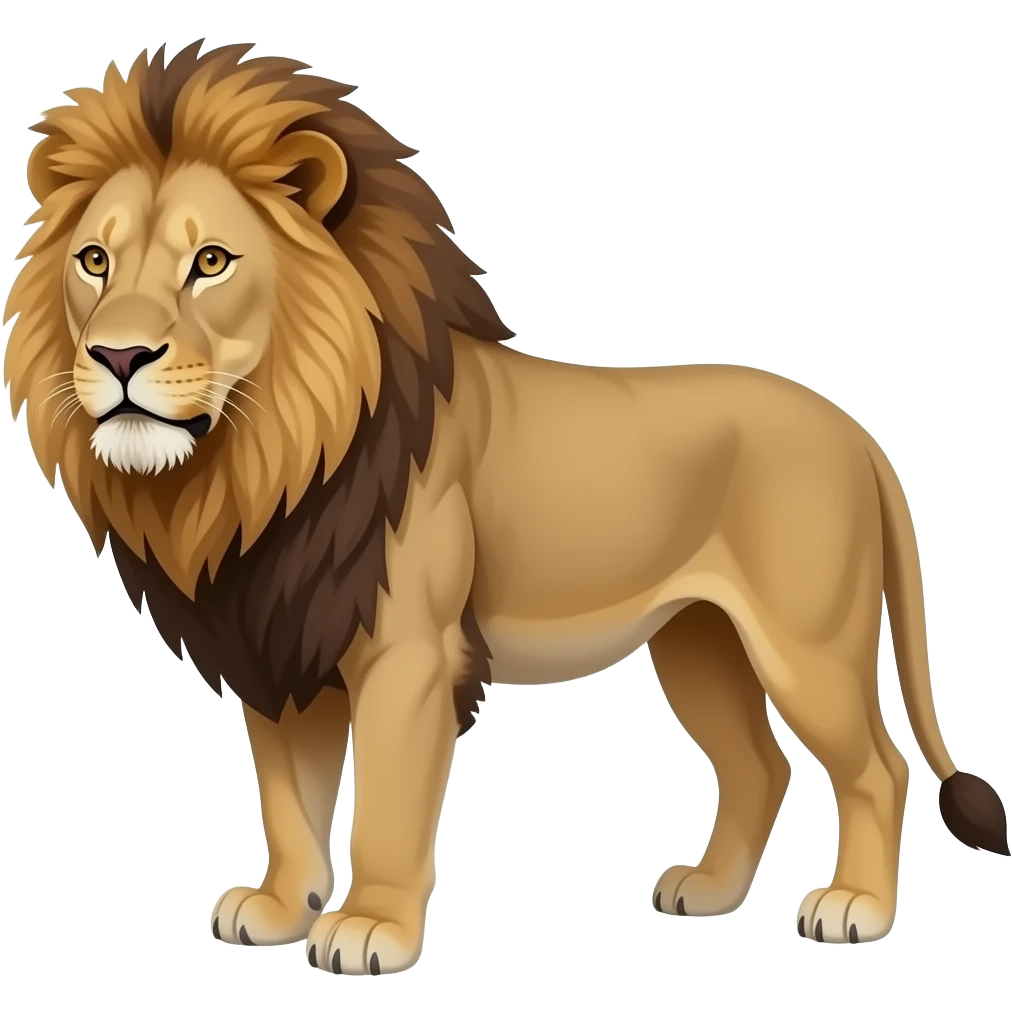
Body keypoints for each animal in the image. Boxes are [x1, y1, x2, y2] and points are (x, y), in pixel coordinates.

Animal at [4, 40, 1007, 974]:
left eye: (210, 261)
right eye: (95, 261)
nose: (118, 357)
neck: (261, 463)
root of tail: (859, 436)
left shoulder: (407, 654)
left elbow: (386, 805)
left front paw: (369, 928)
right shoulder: (283, 635)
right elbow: (288, 798)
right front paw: (282, 908)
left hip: (807, 645)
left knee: (877, 767)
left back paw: (855, 908)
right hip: (700, 641)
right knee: (760, 767)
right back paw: (711, 892)